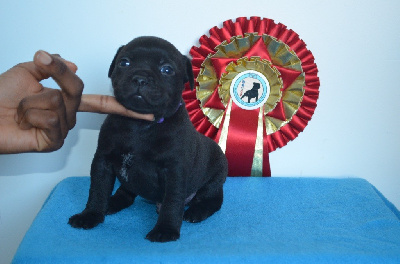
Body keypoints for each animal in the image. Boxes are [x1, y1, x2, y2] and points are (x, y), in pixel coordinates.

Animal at [69, 36, 228, 242]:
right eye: (124, 63)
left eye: (167, 70)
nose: (140, 78)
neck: (139, 124)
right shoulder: (103, 161)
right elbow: (97, 189)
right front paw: (91, 215)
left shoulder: (174, 171)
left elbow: (172, 201)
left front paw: (166, 229)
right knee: (126, 192)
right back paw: (112, 202)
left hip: (215, 178)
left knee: (213, 199)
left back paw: (197, 211)